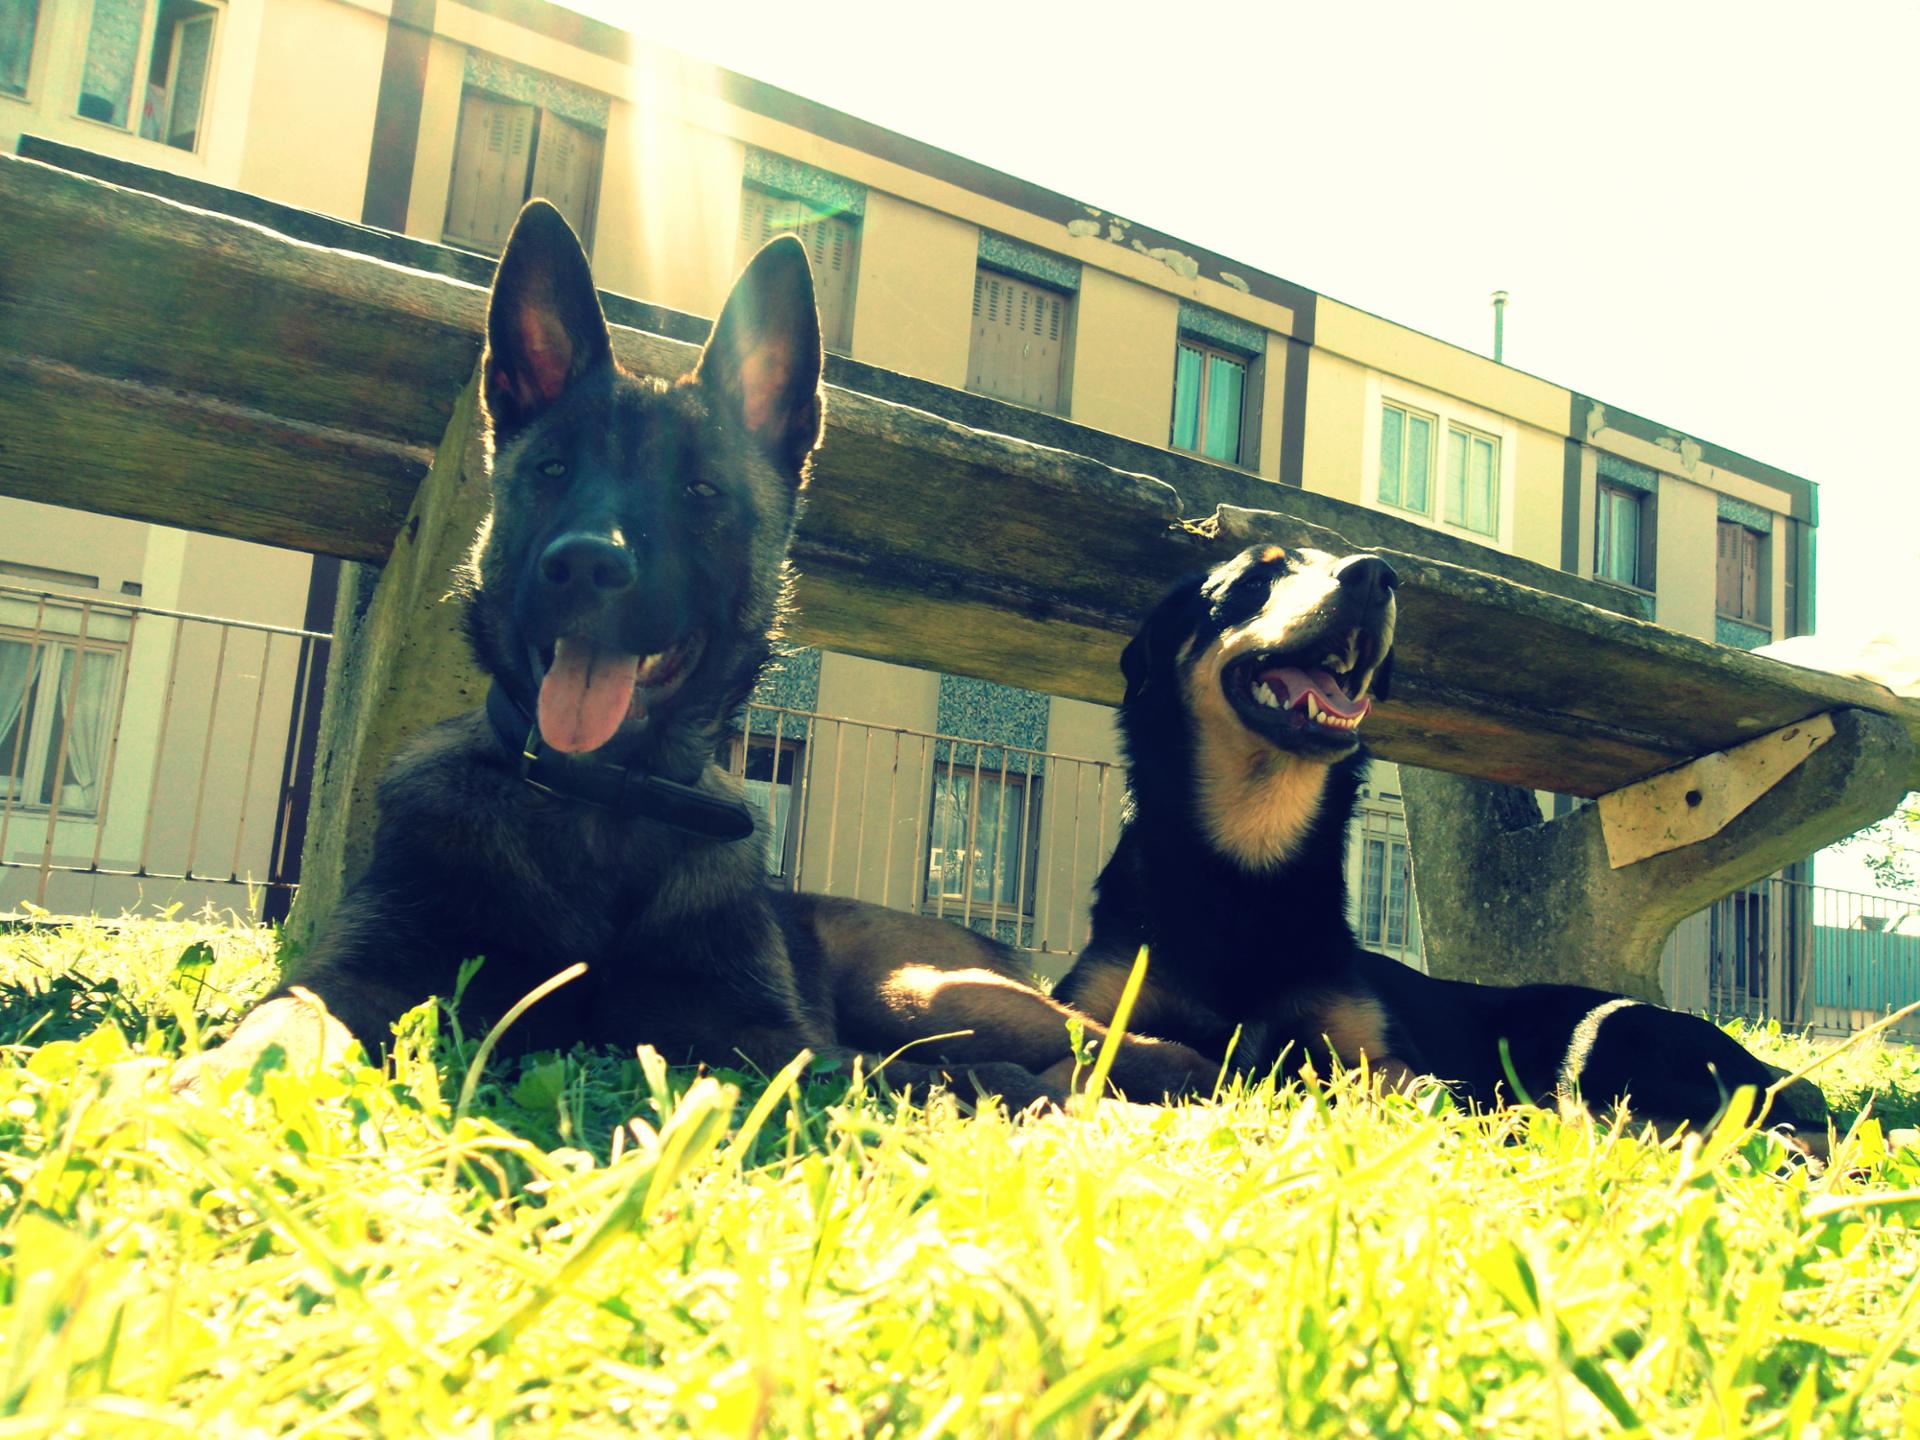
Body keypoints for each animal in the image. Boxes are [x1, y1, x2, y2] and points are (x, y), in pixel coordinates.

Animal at [194, 201, 1208, 1108]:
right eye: (553, 469)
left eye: (700, 490)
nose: (586, 565)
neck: (601, 803)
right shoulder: (364, 970)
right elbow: (285, 1022)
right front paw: (224, 1076)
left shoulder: (770, 1033)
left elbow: (882, 1074)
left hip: (926, 990)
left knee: (1130, 1045)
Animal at [1053, 542, 1829, 1143]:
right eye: (1251, 581)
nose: (1375, 574)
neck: (1251, 868)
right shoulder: (1095, 1011)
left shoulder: (1383, 1056)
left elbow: (1411, 1092)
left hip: (1612, 1047)